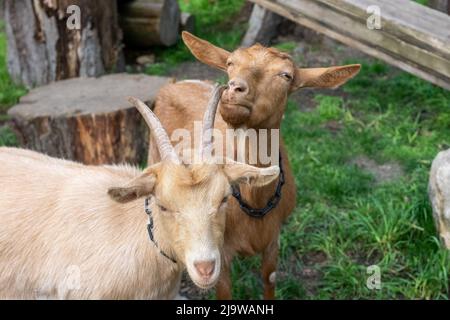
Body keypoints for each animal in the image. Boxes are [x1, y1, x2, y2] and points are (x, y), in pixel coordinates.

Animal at [149, 31, 362, 298]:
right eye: (230, 63)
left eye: (286, 75)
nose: (234, 88)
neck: (255, 199)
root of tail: (176, 83)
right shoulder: (218, 252)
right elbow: (223, 289)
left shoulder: (273, 239)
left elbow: (269, 279)